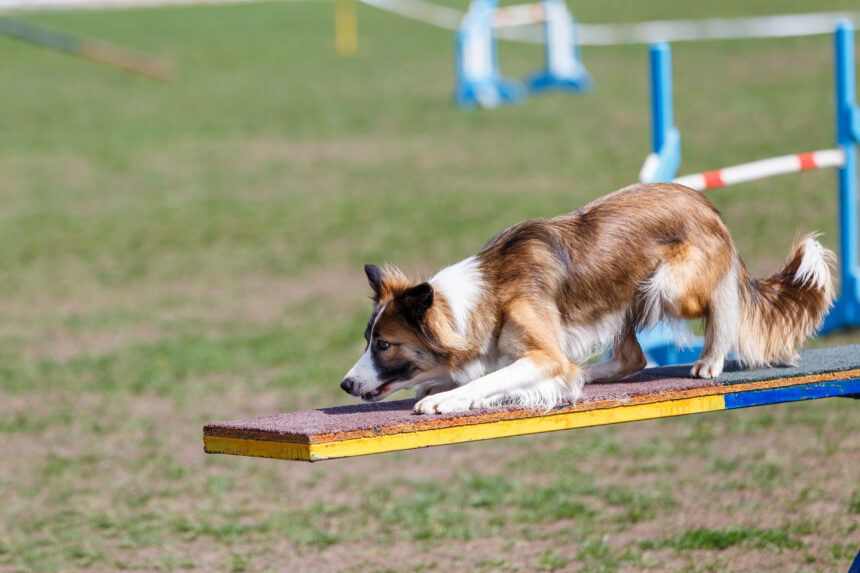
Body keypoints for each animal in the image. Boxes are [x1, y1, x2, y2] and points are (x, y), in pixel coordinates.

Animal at [340, 183, 836, 412]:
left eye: (383, 344)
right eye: (367, 341)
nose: (344, 384)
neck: (489, 293)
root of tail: (707, 206)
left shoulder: (544, 355)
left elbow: (490, 379)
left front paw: (443, 399)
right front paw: (440, 386)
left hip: (669, 287)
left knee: (722, 301)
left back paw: (710, 360)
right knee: (630, 359)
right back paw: (588, 375)